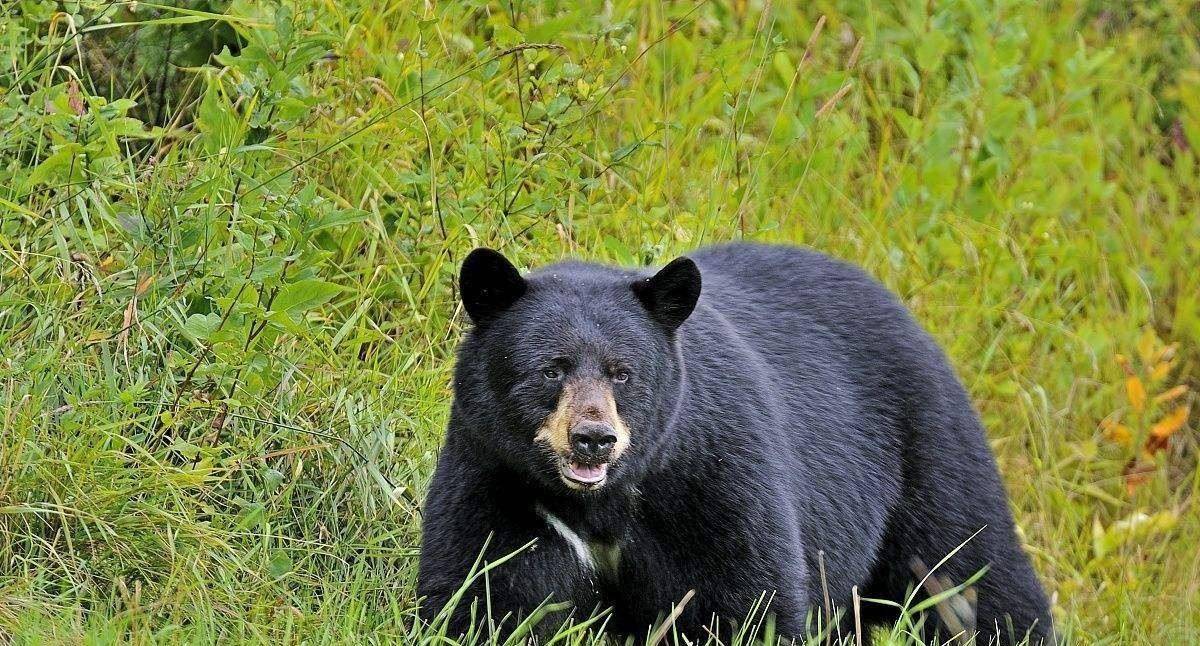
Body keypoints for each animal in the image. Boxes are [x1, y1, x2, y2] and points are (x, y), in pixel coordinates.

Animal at [417, 242, 1056, 643]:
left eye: (623, 373)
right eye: (551, 368)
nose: (594, 439)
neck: (602, 502)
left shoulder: (713, 477)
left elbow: (744, 599)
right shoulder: (497, 477)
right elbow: (485, 589)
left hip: (927, 451)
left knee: (970, 572)